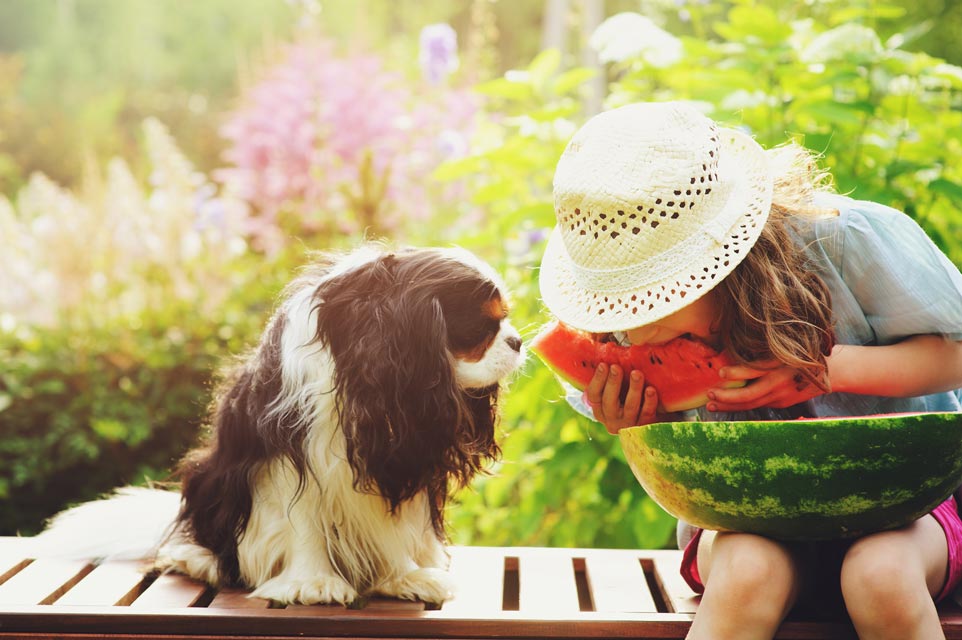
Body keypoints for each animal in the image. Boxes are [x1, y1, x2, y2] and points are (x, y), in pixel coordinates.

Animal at [33, 245, 524, 604]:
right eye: (482, 325)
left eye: (505, 320)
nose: (518, 341)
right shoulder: (289, 455)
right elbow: (302, 519)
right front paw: (312, 582)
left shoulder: (405, 453)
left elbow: (394, 524)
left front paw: (404, 576)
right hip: (209, 474)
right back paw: (199, 558)